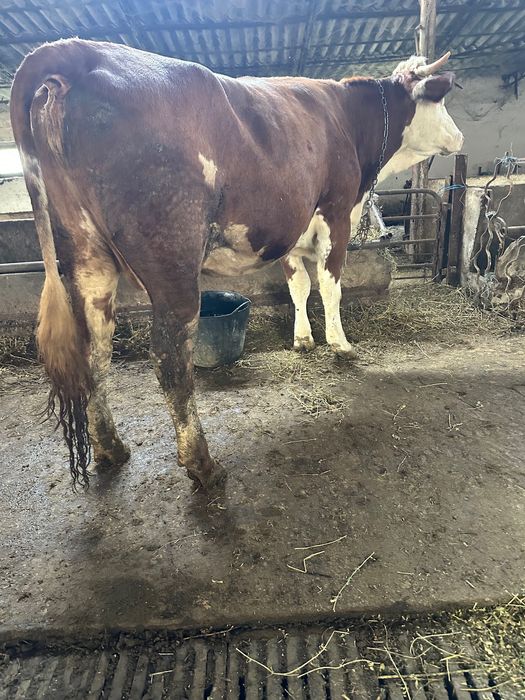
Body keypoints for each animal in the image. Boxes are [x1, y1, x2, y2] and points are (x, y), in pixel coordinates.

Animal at [10, 40, 463, 490]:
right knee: (170, 355)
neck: (349, 120)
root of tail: (79, 52)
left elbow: (299, 286)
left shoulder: (291, 231)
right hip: (172, 259)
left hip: (86, 255)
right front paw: (341, 345)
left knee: (95, 348)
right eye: (440, 101)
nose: (459, 136)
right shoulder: (335, 214)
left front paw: (303, 339)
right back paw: (202, 464)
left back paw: (110, 447)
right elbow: (330, 285)